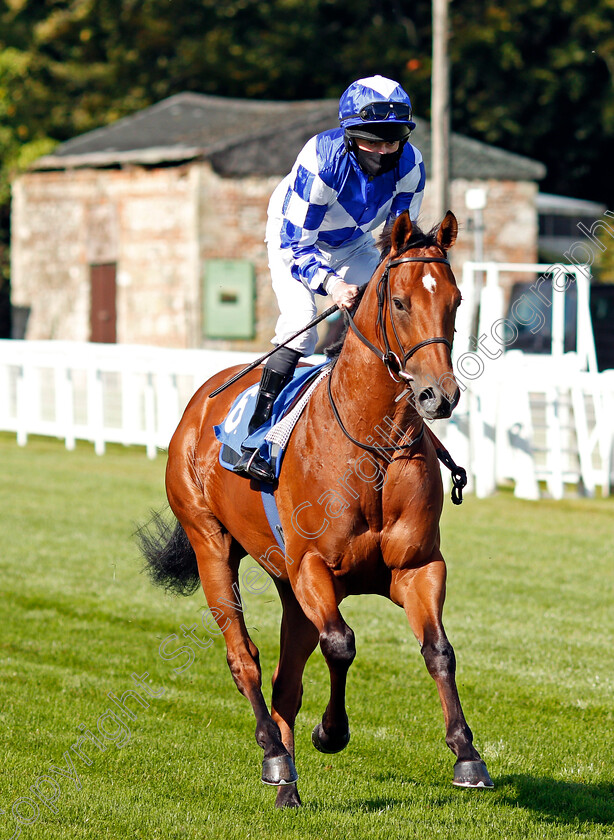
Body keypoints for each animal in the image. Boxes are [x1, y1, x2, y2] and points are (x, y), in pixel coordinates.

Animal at [140, 208, 496, 808]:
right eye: (400, 301)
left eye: (456, 299)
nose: (438, 395)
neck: (374, 445)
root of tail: (204, 397)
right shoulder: (313, 567)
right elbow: (342, 644)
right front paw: (331, 732)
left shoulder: (416, 566)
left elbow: (439, 650)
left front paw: (467, 755)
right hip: (211, 543)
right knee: (245, 658)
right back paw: (274, 754)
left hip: (286, 585)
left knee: (285, 678)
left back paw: (283, 772)